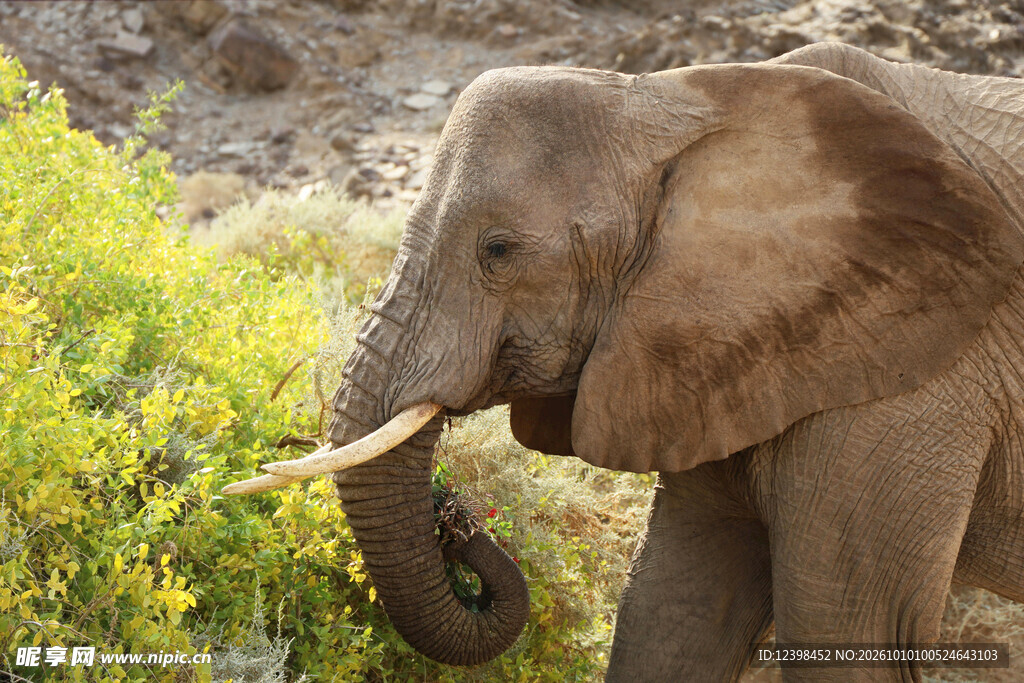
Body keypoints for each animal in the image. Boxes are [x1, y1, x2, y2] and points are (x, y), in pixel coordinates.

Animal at [224, 42, 1024, 681]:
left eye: (498, 251)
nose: (456, 516)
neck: (673, 97)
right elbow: (672, 608)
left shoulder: (917, 374)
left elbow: (852, 629)